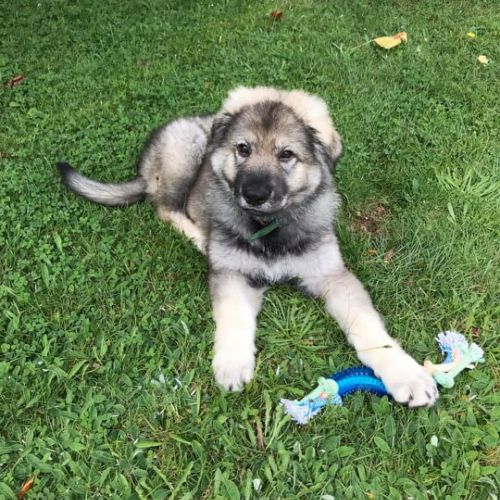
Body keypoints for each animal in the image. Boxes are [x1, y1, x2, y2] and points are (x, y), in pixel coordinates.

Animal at [57, 86, 438, 407]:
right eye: (243, 149)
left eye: (287, 155)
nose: (253, 194)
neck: (268, 227)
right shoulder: (233, 274)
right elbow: (235, 317)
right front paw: (232, 364)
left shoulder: (333, 276)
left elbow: (368, 327)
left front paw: (406, 374)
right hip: (186, 151)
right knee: (166, 208)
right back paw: (200, 237)